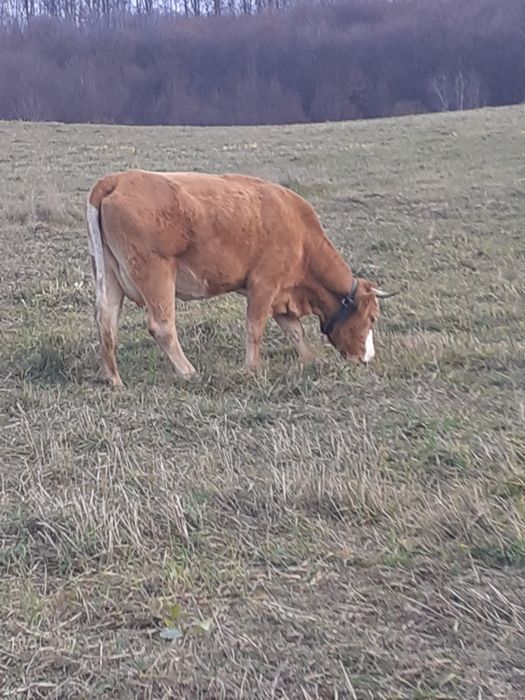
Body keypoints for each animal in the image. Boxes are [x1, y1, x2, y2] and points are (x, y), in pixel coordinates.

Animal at [86, 169, 395, 387]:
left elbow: (295, 331)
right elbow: (254, 328)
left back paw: (112, 378)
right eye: (372, 318)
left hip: (110, 276)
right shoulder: (264, 284)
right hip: (156, 275)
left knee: (106, 320)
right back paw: (188, 371)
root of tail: (117, 179)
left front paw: (309, 360)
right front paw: (251, 369)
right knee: (161, 326)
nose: (367, 358)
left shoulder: (281, 292)